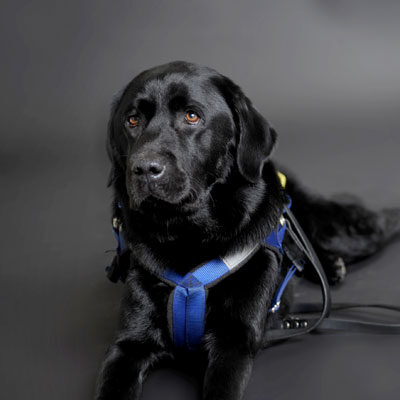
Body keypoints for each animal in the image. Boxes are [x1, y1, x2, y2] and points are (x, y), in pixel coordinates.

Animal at [94, 61, 400, 400]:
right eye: (132, 120)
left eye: (191, 116)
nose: (145, 169)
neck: (188, 237)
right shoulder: (128, 345)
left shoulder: (234, 341)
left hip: (341, 231)